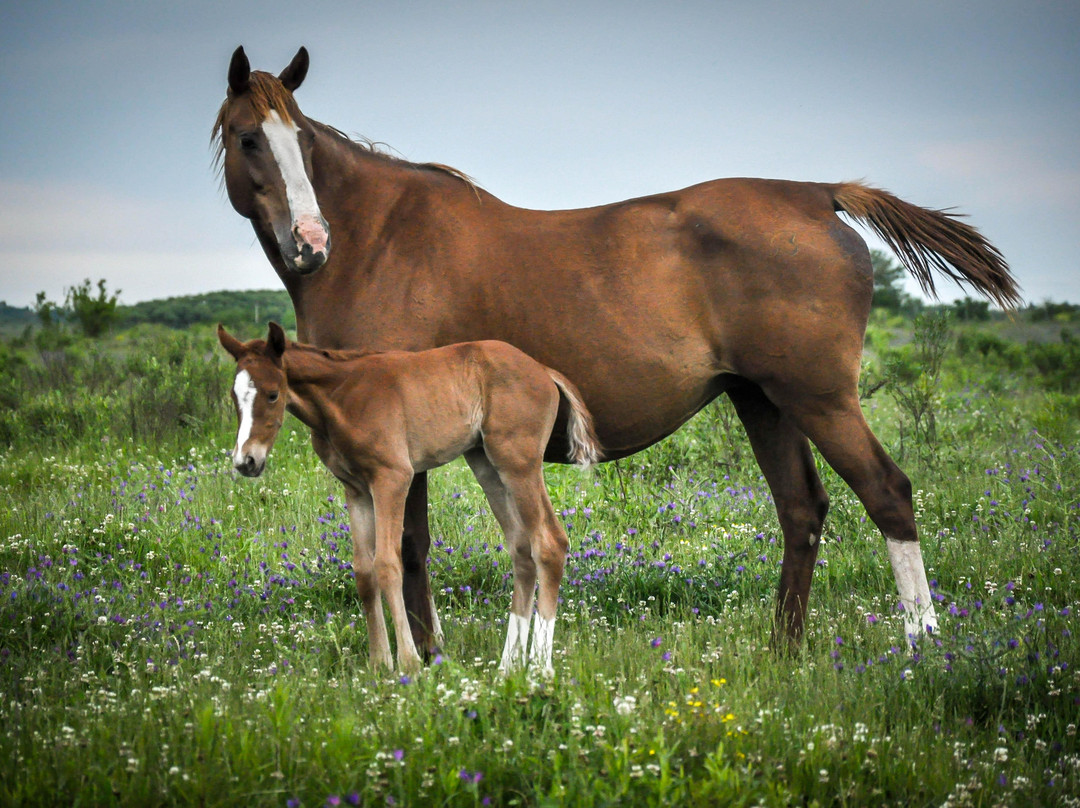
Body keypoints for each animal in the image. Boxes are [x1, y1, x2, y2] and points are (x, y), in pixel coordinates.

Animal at [221, 324, 600, 674]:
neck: (343, 398)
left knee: (549, 543)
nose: (245, 461)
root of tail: (543, 370)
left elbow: (388, 564)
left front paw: (409, 663)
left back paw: (539, 668)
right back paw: (507, 666)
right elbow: (363, 571)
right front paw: (379, 664)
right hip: (487, 464)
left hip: (518, 464)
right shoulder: (356, 489)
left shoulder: (392, 478)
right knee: (521, 550)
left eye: (272, 395)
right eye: (234, 397)